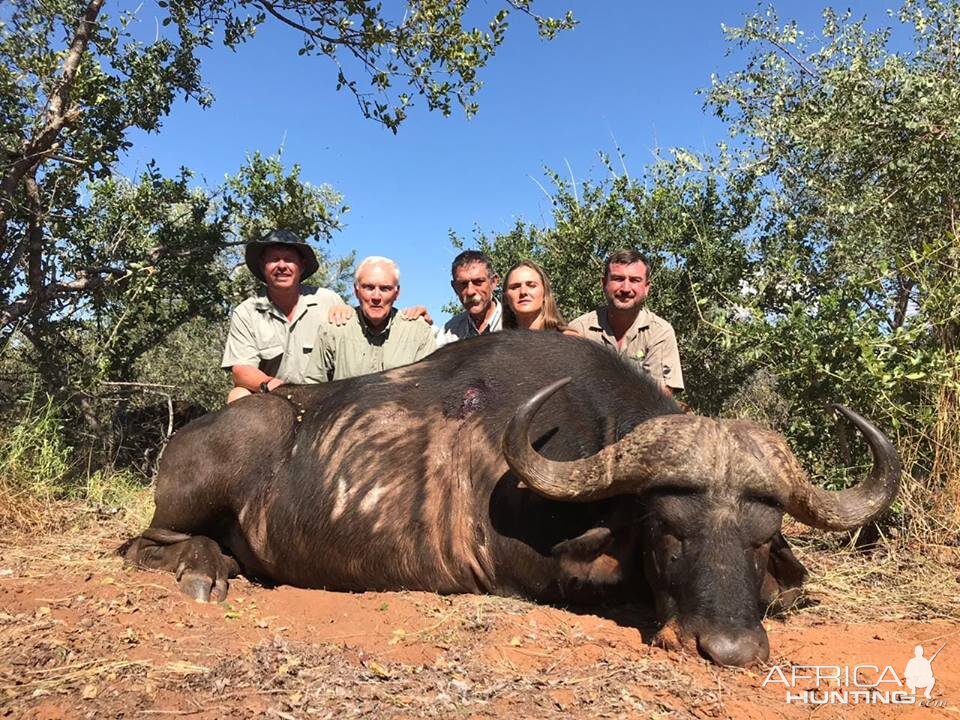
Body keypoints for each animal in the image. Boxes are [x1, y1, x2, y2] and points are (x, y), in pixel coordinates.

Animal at [125, 330, 900, 668]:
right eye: (668, 531)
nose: (730, 650)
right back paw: (203, 570)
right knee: (143, 545)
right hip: (216, 468)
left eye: (762, 542)